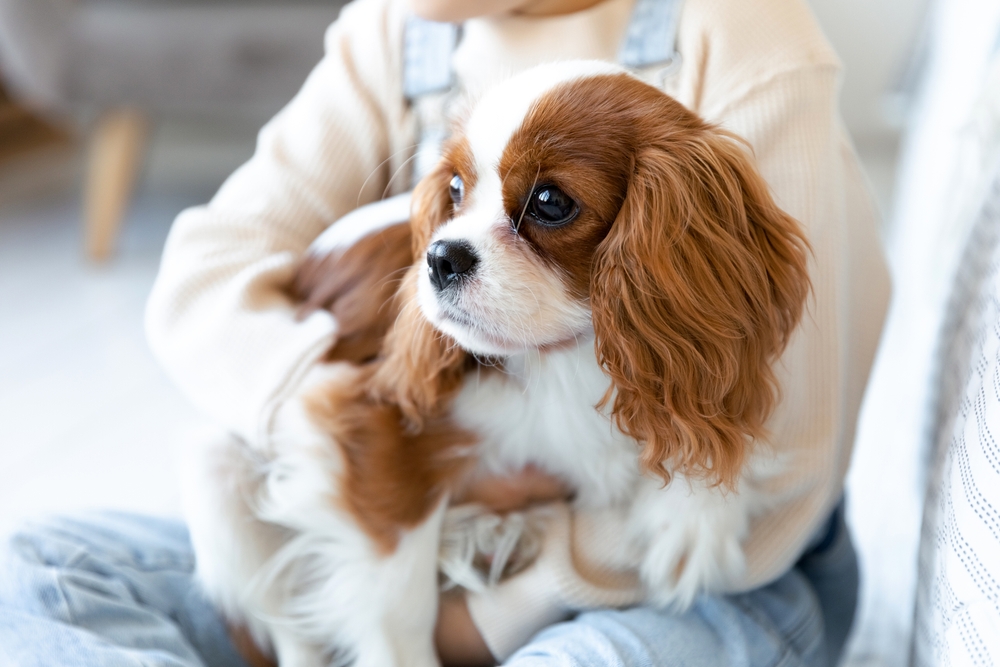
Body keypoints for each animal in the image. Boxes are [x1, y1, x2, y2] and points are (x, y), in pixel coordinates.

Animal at [184, 61, 812, 667]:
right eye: (456, 188)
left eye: (550, 202)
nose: (440, 256)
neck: (563, 353)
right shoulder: (364, 416)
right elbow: (399, 602)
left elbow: (710, 422)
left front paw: (691, 518)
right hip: (213, 466)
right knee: (284, 624)